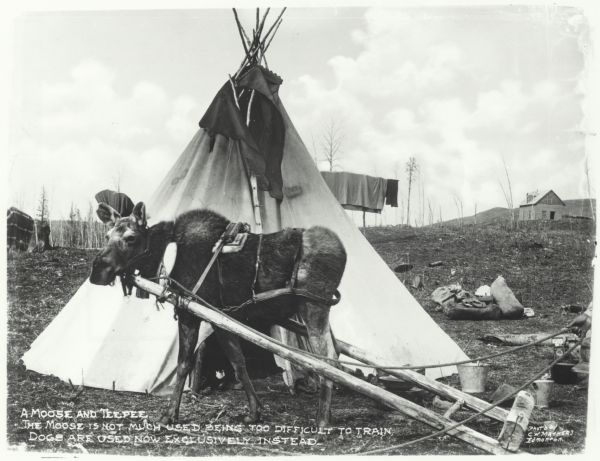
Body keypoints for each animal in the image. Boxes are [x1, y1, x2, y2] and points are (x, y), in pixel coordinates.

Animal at [89, 203, 346, 426]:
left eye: (131, 238)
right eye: (106, 235)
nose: (96, 271)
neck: (166, 260)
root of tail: (343, 252)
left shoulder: (192, 314)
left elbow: (185, 364)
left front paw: (169, 414)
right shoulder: (221, 318)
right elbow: (238, 362)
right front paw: (254, 412)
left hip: (314, 307)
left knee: (328, 359)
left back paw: (322, 419)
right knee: (335, 353)